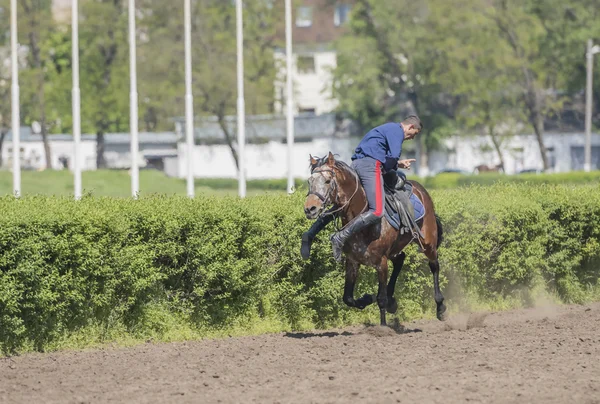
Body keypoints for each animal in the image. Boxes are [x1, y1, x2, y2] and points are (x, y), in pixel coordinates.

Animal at [304, 152, 446, 326]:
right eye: (309, 181)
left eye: (327, 181)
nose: (310, 208)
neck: (362, 223)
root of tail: (421, 190)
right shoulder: (352, 261)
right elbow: (348, 298)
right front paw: (366, 298)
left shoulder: (381, 263)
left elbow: (381, 299)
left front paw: (383, 326)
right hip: (397, 247)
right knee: (400, 259)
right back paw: (393, 301)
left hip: (428, 242)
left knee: (434, 265)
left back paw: (440, 306)